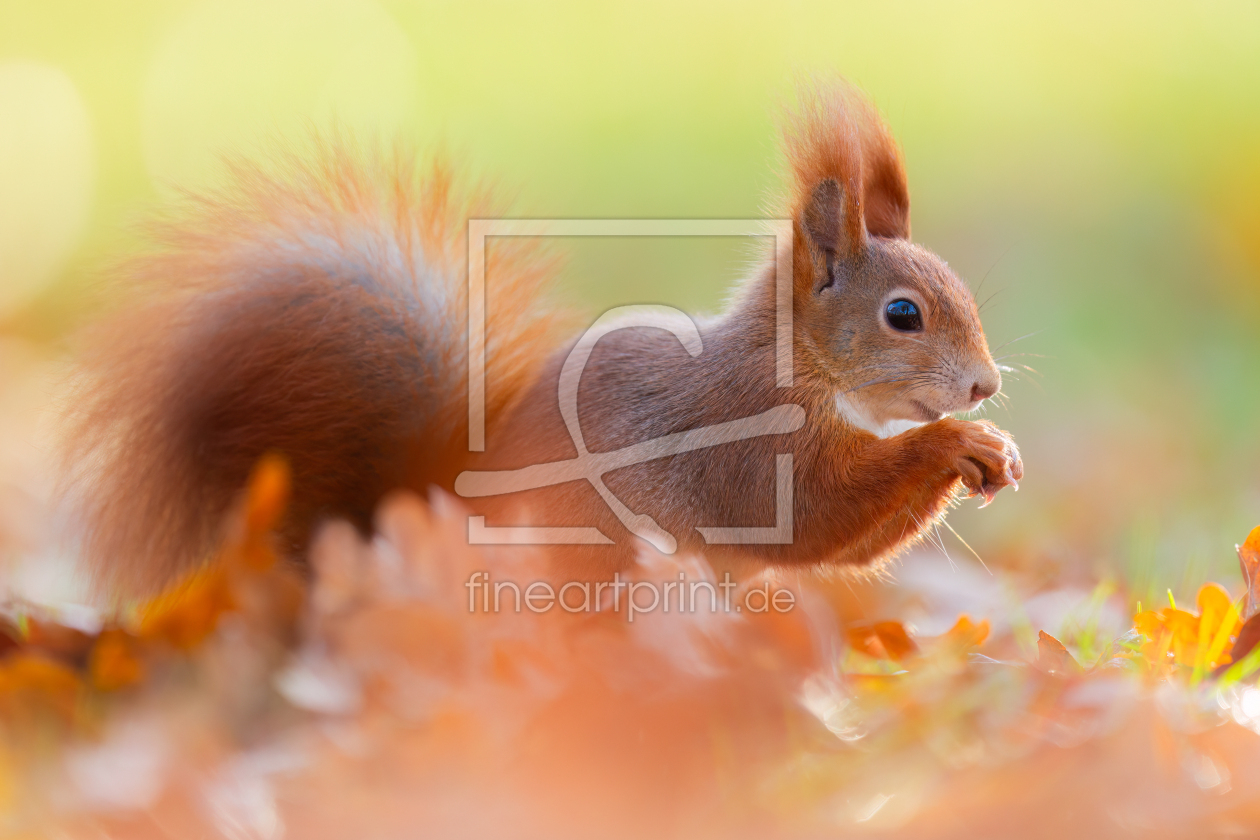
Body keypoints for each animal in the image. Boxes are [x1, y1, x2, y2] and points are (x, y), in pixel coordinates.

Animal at [61, 77, 1023, 591]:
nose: (984, 385)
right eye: (903, 314)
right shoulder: (749, 443)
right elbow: (816, 521)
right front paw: (957, 443)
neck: (803, 371)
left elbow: (841, 546)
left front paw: (992, 448)